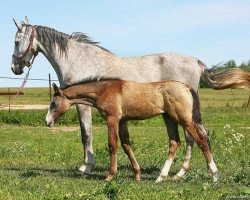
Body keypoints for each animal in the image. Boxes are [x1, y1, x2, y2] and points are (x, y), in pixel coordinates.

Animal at [10, 17, 249, 181]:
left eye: (16, 41)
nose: (15, 67)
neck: (79, 60)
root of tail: (197, 62)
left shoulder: (82, 107)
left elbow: (86, 135)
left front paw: (87, 167)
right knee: (195, 136)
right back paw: (179, 173)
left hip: (182, 113)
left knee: (195, 136)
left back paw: (184, 173)